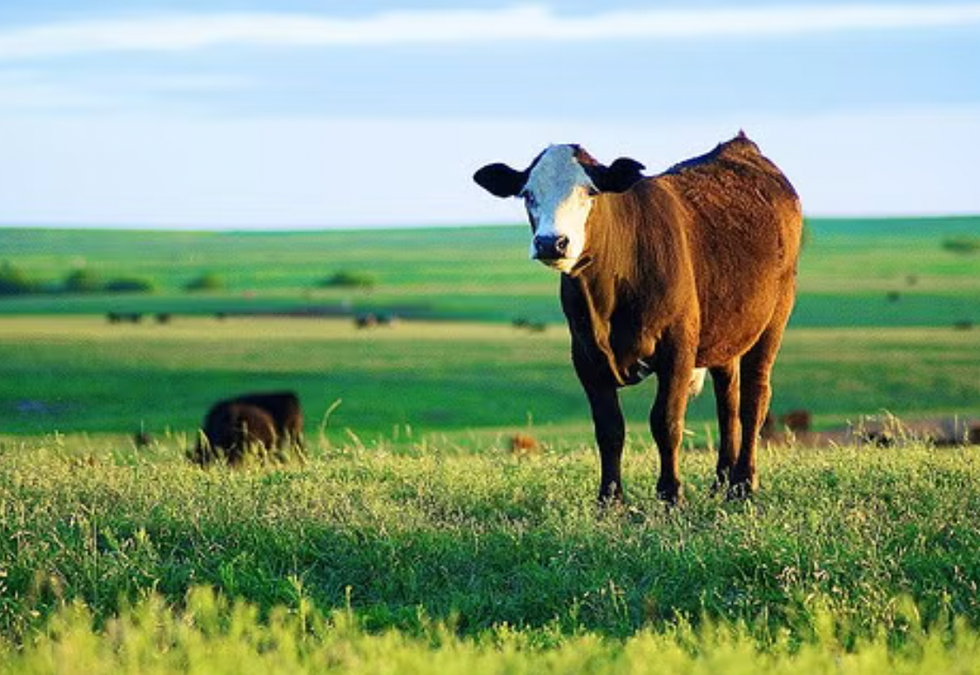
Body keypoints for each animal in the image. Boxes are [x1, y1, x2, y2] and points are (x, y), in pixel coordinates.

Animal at [474, 132, 802, 504]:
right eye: (528, 194)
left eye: (590, 191)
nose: (550, 243)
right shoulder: (585, 356)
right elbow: (609, 429)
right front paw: (609, 500)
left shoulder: (678, 348)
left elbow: (666, 422)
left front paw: (671, 495)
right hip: (726, 334)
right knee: (728, 403)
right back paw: (721, 482)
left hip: (773, 320)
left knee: (753, 400)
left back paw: (743, 484)